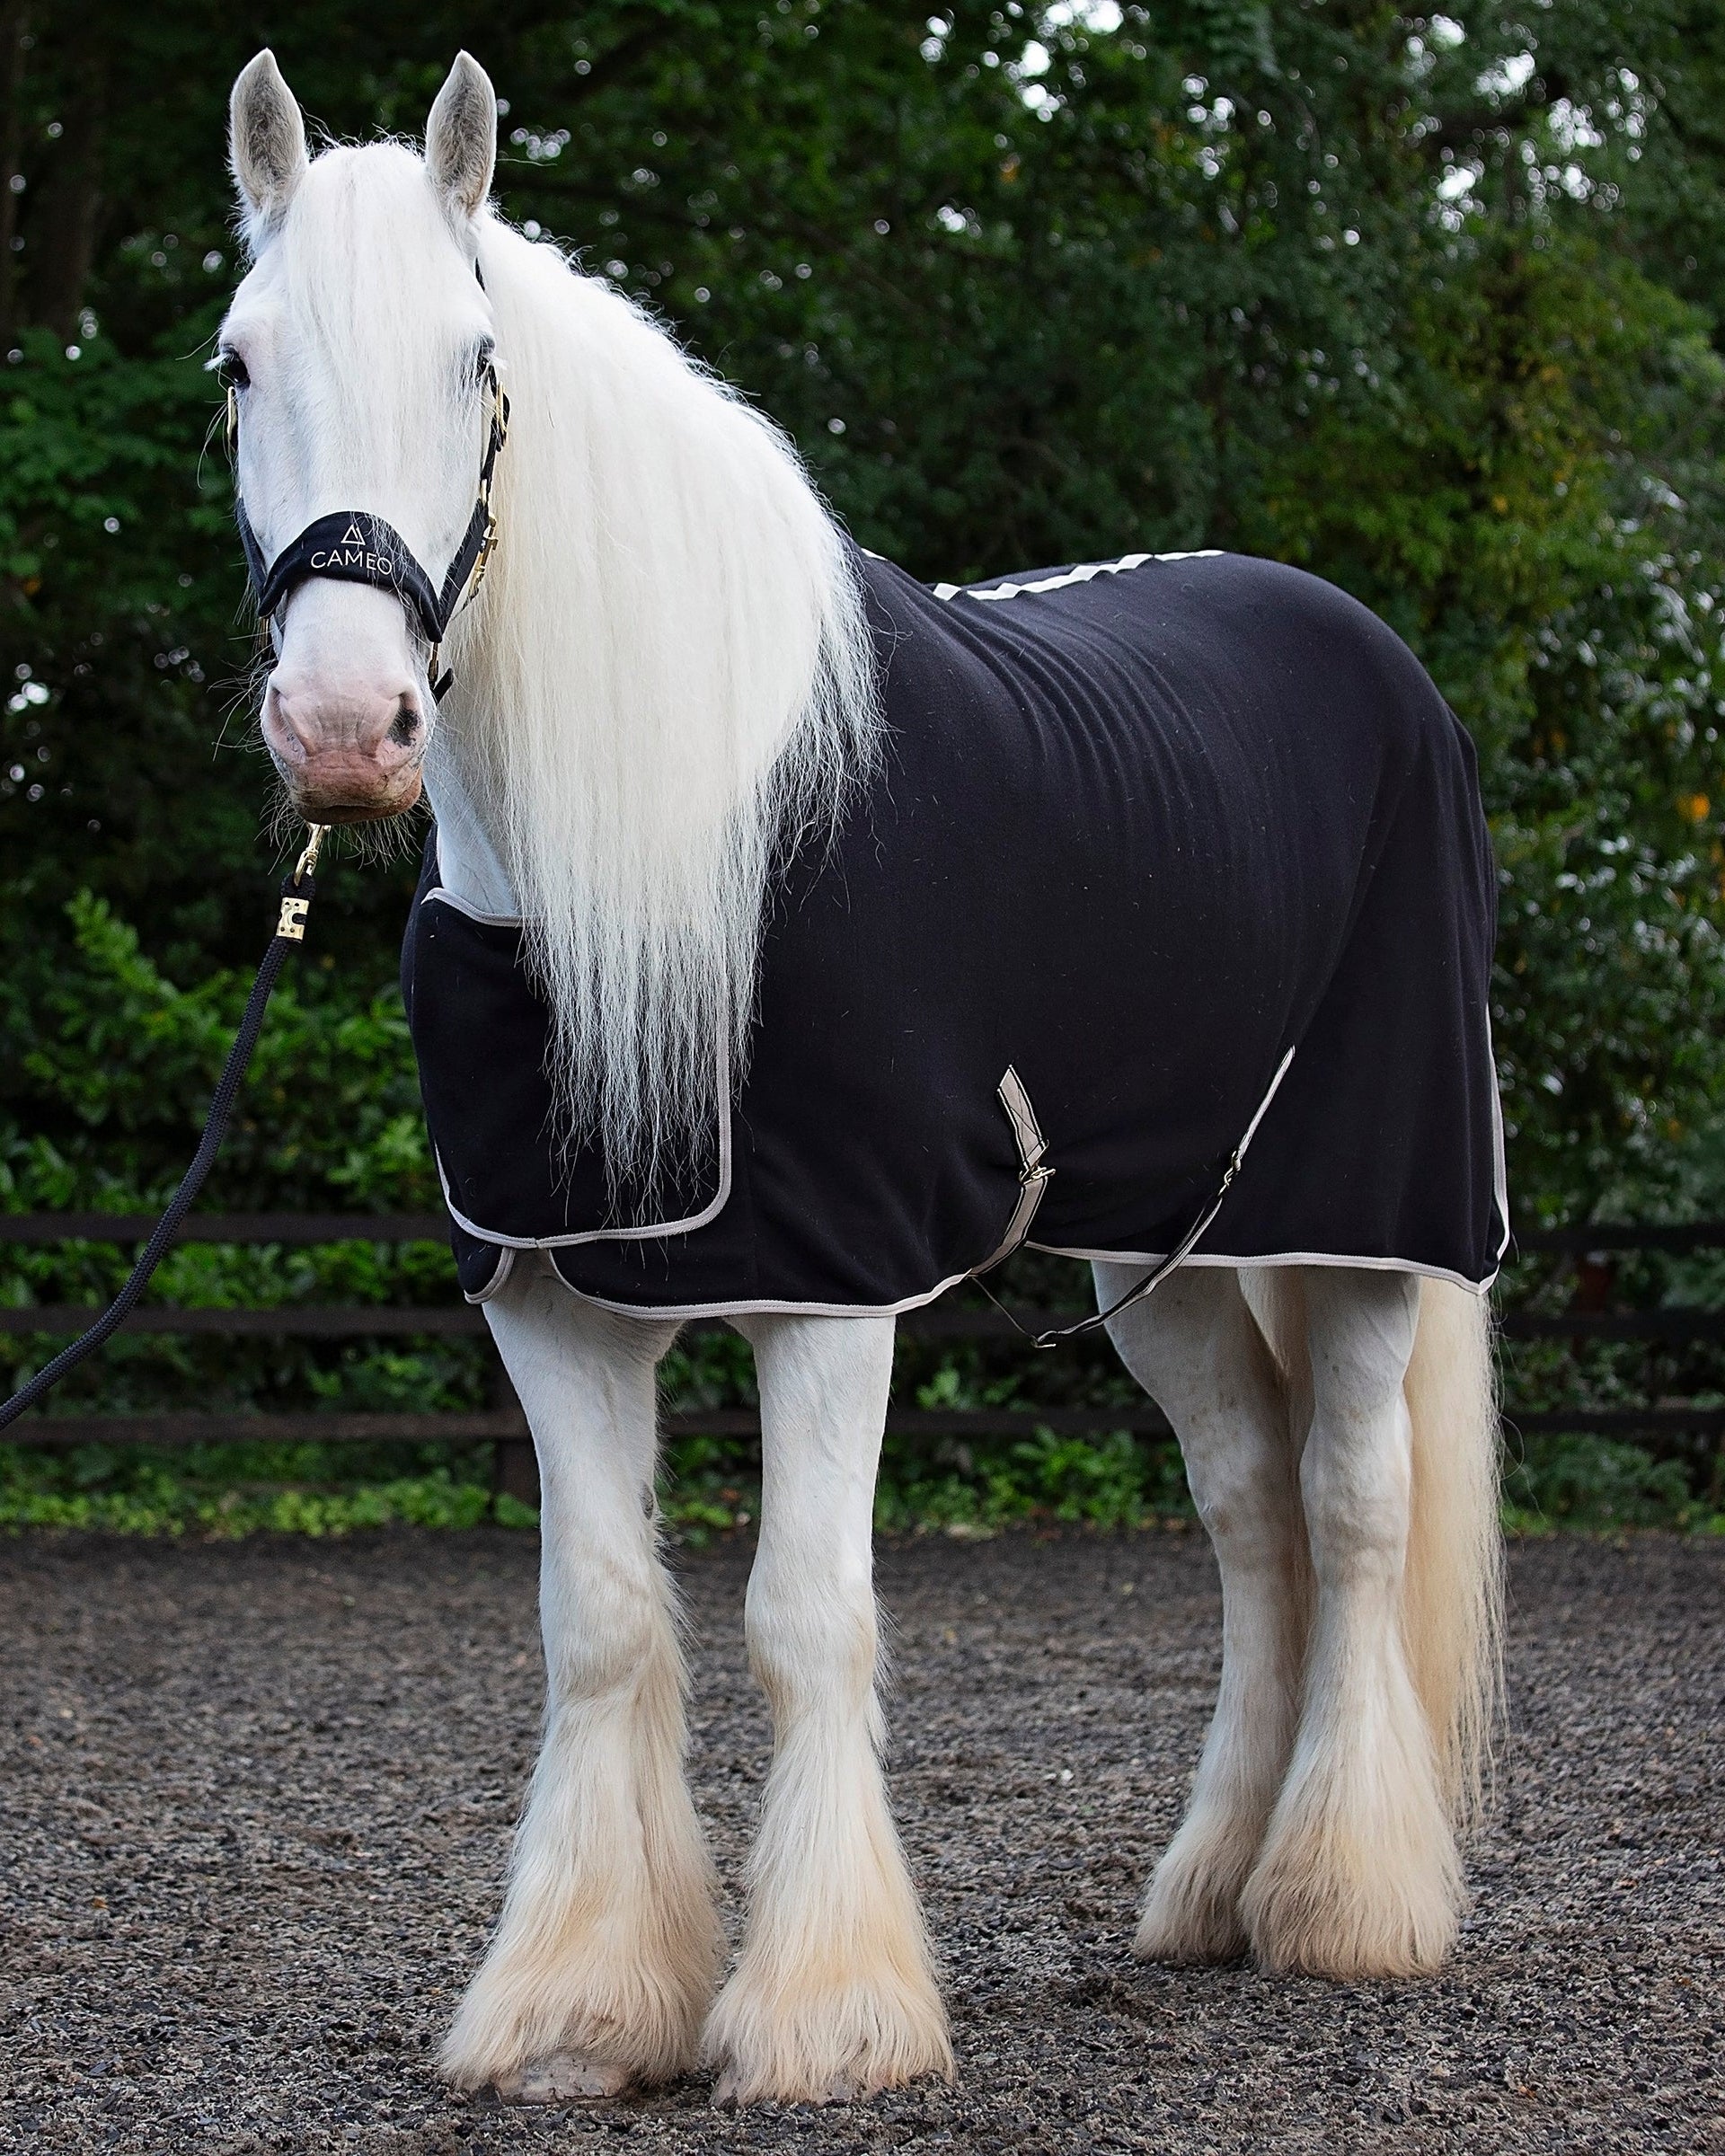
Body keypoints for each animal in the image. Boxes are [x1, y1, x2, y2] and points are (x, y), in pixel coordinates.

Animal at [219, 50, 1505, 2108]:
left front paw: (828, 2013)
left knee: (1360, 1511)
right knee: (1255, 1523)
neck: (662, 843)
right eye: (242, 363)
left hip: (1368, 1225)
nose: (347, 729)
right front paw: (575, 2009)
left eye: (475, 362)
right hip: (1166, 1262)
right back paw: (1212, 1892)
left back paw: (1344, 1903)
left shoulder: (832, 1287)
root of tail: (1366, 647)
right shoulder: (547, 1296)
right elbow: (603, 1624)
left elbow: (803, 1619)